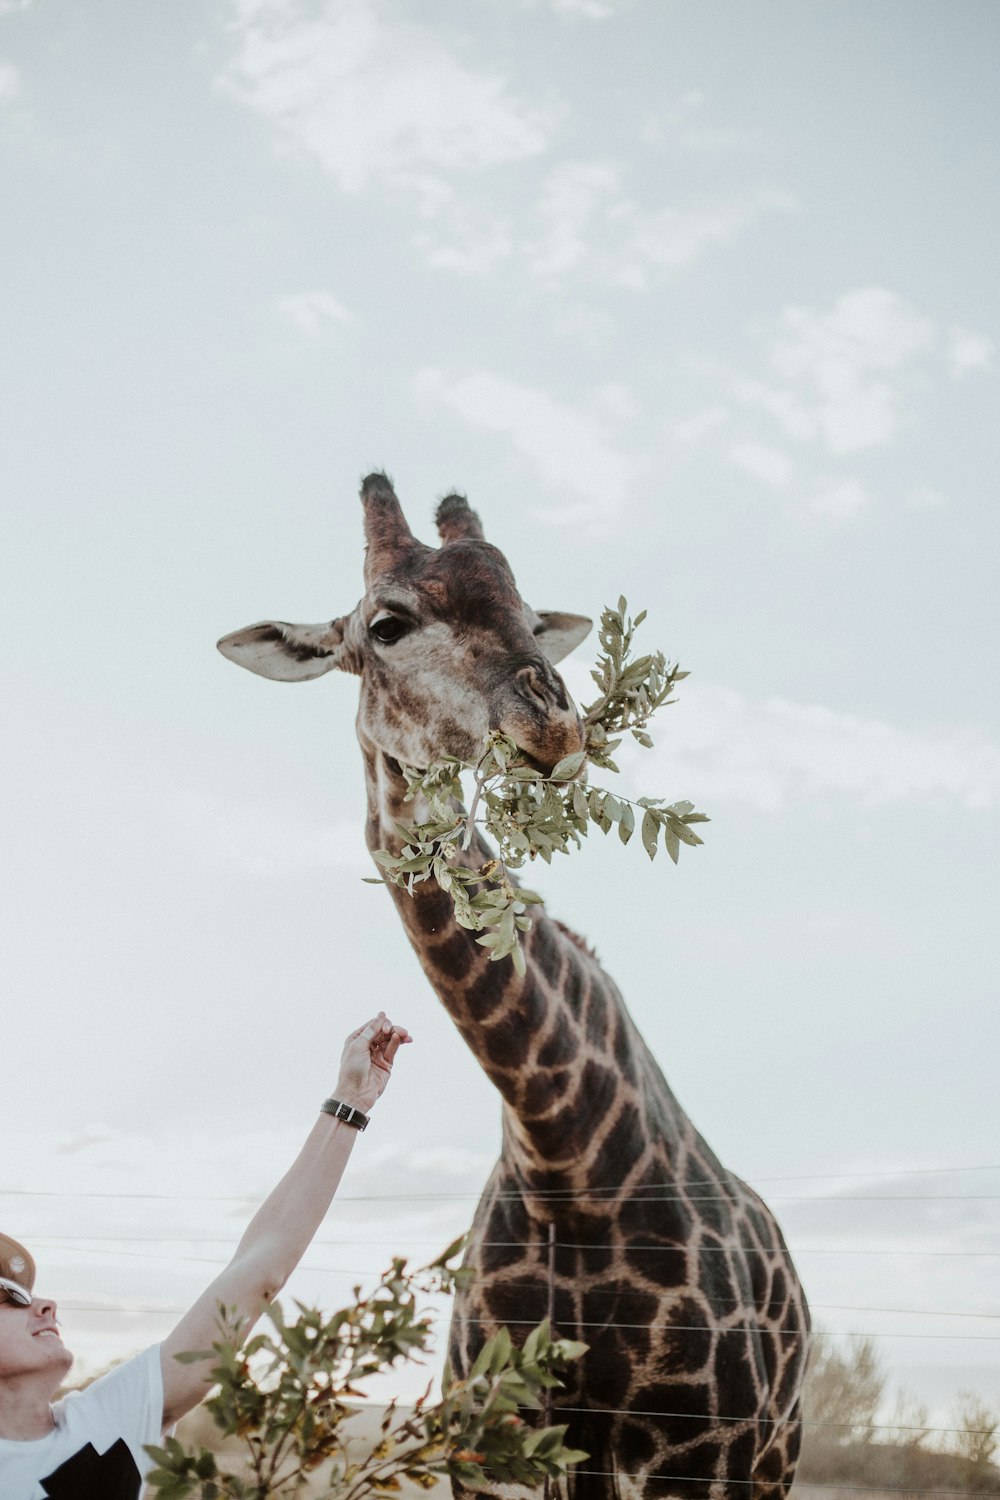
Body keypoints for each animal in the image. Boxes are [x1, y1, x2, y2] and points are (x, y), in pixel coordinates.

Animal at [220, 471, 815, 1500]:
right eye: (386, 624)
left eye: (534, 617)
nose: (552, 722)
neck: (562, 1158)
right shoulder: (494, 1450)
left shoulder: (703, 1461)